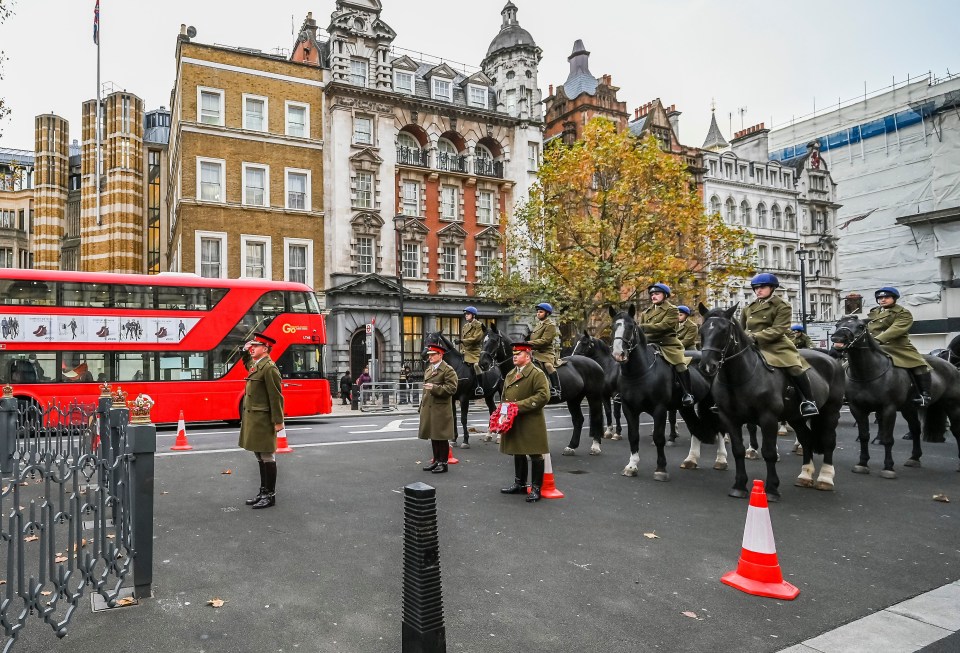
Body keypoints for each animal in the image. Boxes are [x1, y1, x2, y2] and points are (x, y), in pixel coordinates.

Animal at [608, 306, 720, 478]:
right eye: (612, 326)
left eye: (631, 327)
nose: (618, 354)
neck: (639, 373)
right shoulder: (629, 408)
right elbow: (633, 436)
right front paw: (631, 466)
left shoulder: (659, 409)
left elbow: (658, 437)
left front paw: (661, 468)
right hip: (687, 407)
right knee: (695, 428)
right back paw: (691, 460)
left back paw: (721, 460)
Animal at [692, 304, 844, 500]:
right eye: (701, 330)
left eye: (724, 331)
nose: (707, 366)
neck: (741, 376)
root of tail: (832, 360)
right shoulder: (730, 418)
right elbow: (738, 450)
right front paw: (739, 485)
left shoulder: (768, 418)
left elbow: (769, 452)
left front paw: (771, 488)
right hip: (796, 417)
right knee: (806, 439)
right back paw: (805, 475)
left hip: (831, 412)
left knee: (828, 441)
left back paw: (825, 478)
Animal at [832, 316, 960, 474]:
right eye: (837, 325)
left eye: (861, 326)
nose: (837, 338)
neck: (868, 373)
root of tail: (951, 366)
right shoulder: (857, 409)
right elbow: (864, 436)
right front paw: (862, 463)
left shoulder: (889, 409)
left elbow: (888, 438)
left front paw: (888, 467)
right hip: (909, 409)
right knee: (916, 429)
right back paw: (914, 458)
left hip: (953, 406)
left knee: (956, 431)